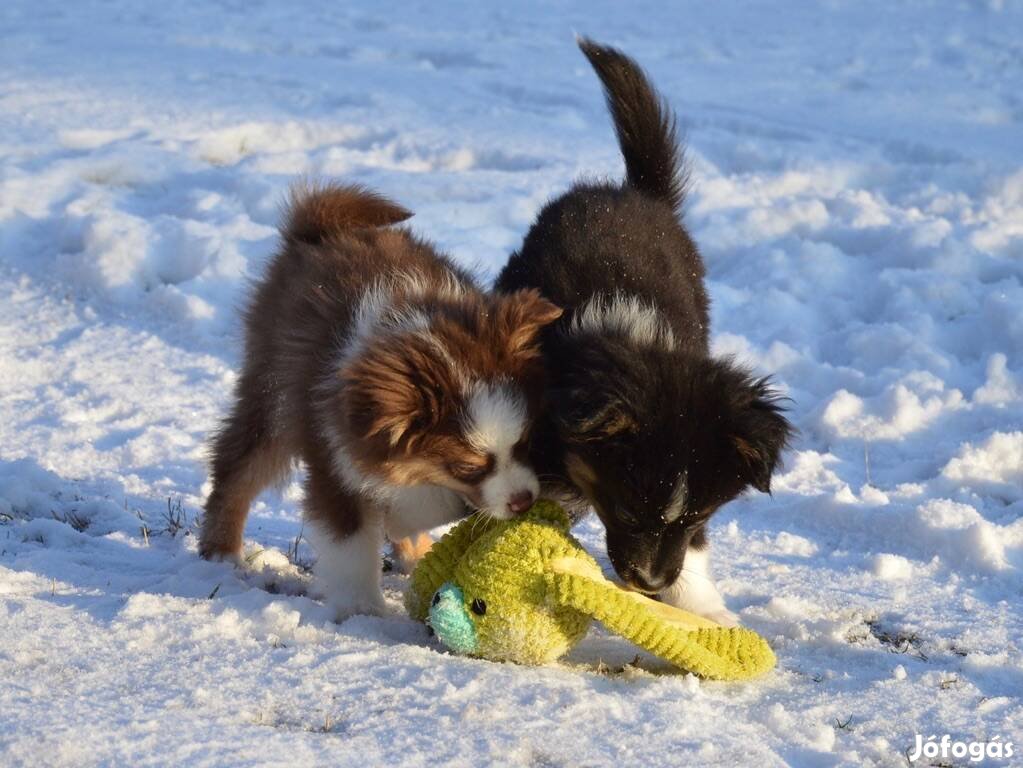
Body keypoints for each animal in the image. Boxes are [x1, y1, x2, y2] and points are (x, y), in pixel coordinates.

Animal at [198, 185, 560, 617]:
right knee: (237, 466)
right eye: (468, 467)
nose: (524, 502)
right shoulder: (335, 454)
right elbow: (353, 541)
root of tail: (319, 232)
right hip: (274, 393)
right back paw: (221, 552)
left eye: (526, 442)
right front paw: (363, 610)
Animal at [495, 39, 789, 625]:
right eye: (629, 508)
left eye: (698, 516)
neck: (632, 338)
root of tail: (632, 191)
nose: (650, 584)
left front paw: (704, 610)